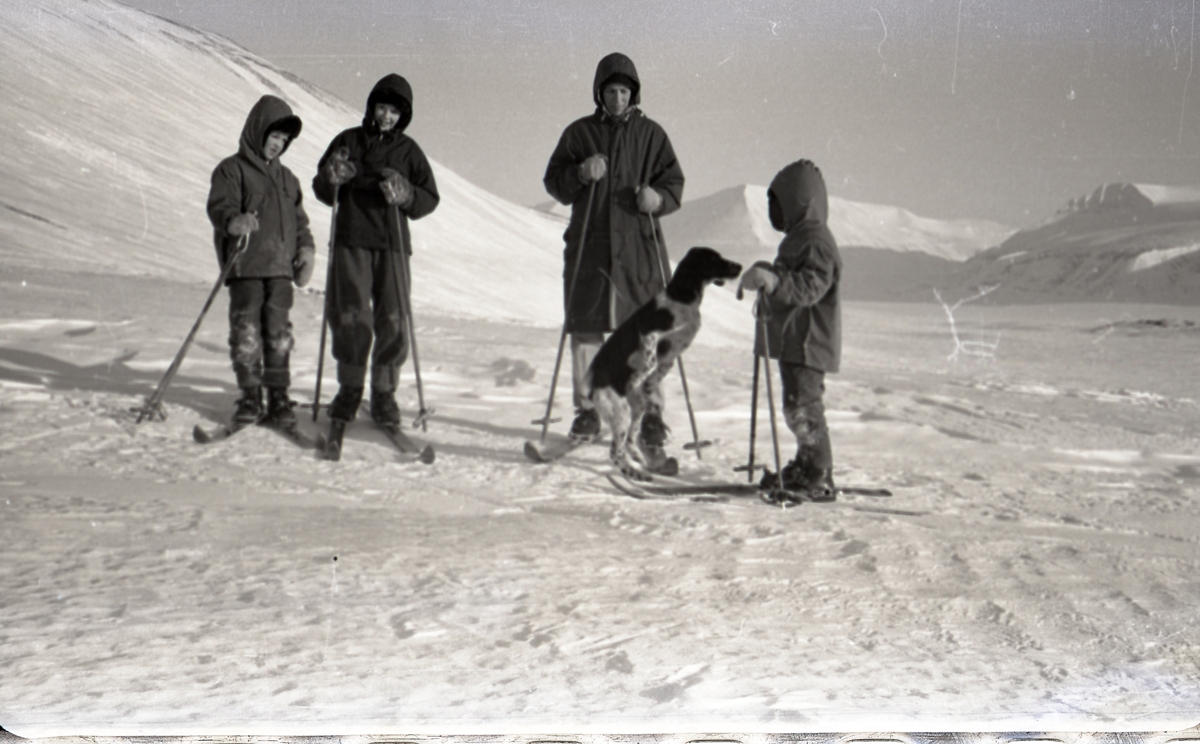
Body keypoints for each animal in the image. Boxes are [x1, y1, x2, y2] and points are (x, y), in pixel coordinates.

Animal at [583, 246, 739, 482]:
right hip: (620, 413)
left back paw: (647, 465)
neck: (683, 299)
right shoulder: (650, 332)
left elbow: (658, 372)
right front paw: (640, 376)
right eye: (714, 259)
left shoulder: (671, 357)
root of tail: (593, 389)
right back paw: (634, 472)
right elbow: (649, 357)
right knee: (615, 451)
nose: (739, 266)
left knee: (630, 442)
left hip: (635, 409)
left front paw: (648, 386)